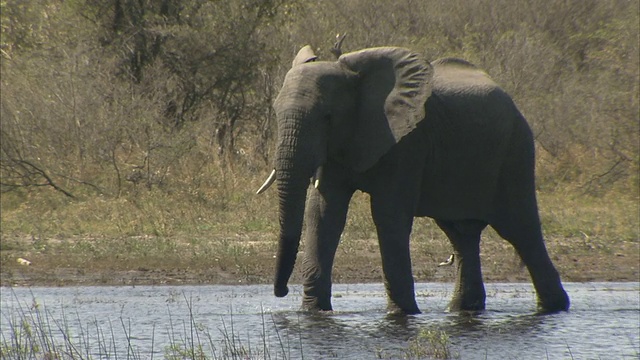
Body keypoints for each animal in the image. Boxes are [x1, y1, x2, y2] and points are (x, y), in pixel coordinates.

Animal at [256, 45, 568, 316]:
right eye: (275, 112)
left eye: (327, 117)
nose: (281, 292)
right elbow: (323, 215)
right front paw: (312, 313)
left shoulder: (408, 143)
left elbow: (388, 215)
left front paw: (403, 314)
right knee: (461, 234)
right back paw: (464, 310)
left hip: (515, 151)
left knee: (521, 229)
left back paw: (554, 308)